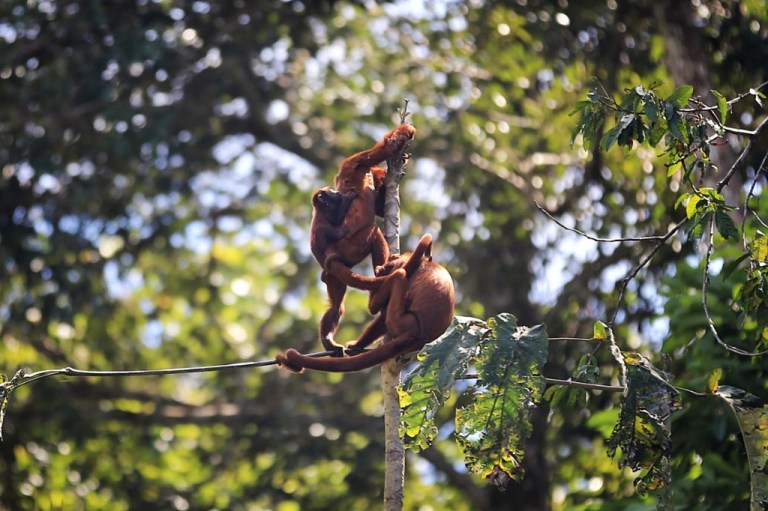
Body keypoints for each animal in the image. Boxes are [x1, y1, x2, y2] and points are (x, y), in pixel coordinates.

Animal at [276, 233, 455, 372]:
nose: (380, 272)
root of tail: (416, 335)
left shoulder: (400, 265)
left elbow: (380, 312)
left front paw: (357, 344)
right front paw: (356, 346)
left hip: (401, 321)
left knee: (399, 276)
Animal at [317, 123, 417, 353]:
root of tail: (330, 254)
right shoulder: (354, 163)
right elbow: (385, 149)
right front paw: (405, 132)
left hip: (334, 271)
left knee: (336, 305)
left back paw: (328, 340)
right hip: (350, 247)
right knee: (373, 233)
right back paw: (383, 270)